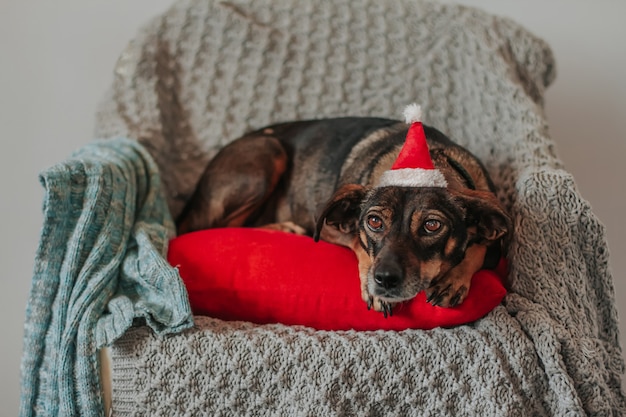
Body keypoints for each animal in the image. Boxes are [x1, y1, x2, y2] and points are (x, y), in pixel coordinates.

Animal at [178, 106, 510, 316]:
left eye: (432, 226)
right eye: (374, 221)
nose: (385, 280)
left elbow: (480, 246)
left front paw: (454, 278)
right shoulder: (326, 224)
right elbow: (356, 241)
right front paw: (371, 287)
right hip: (267, 152)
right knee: (209, 226)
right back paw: (283, 227)